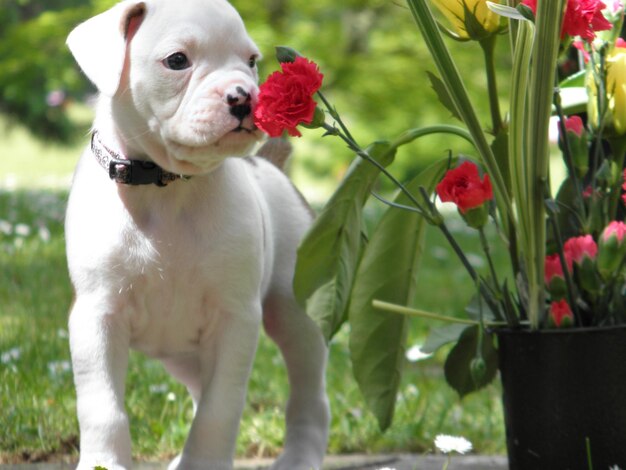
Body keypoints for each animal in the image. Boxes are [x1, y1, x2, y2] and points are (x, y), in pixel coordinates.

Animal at [65, 0, 330, 470]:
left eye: (251, 61)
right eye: (177, 61)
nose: (245, 96)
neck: (166, 187)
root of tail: (271, 166)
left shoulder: (234, 320)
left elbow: (219, 409)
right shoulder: (97, 316)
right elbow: (103, 406)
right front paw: (105, 462)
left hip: (295, 314)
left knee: (308, 392)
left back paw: (299, 456)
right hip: (184, 351)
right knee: (196, 388)